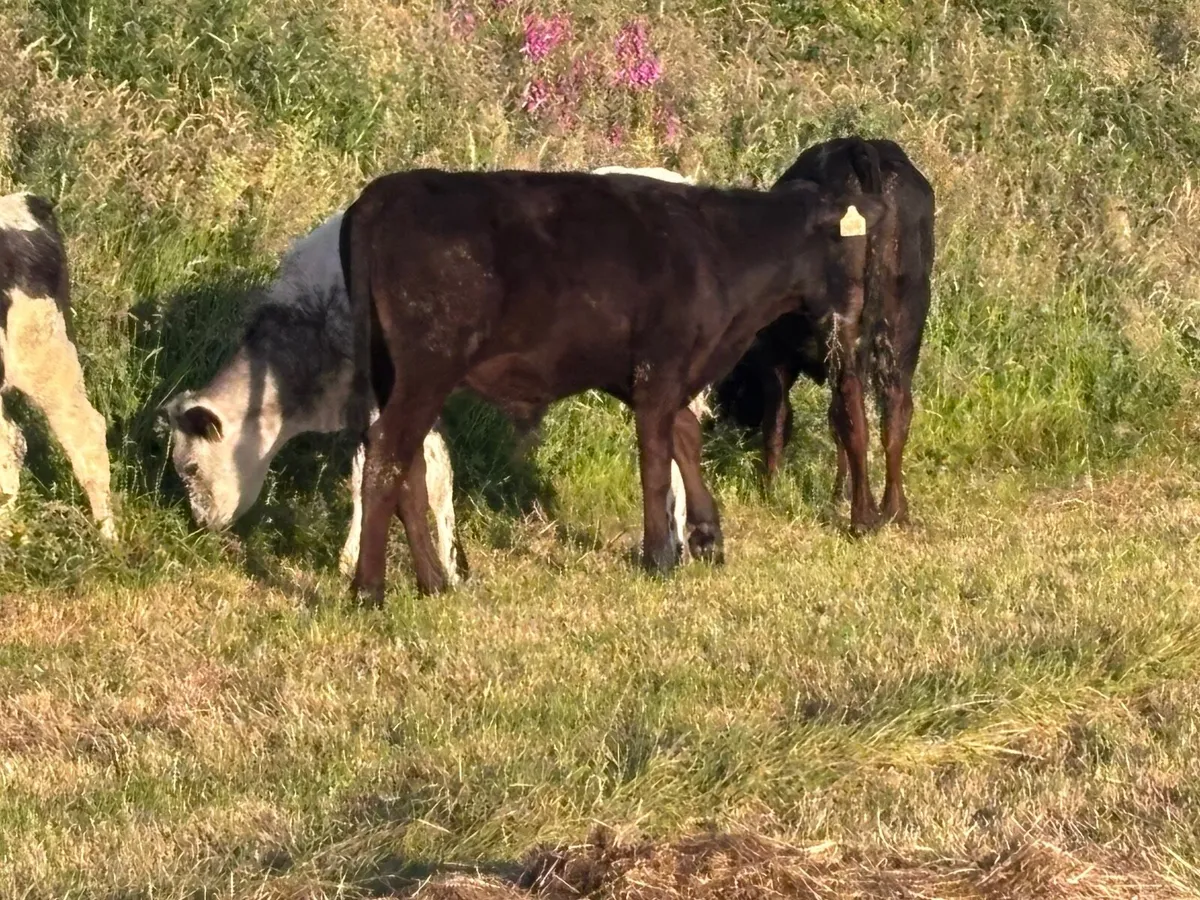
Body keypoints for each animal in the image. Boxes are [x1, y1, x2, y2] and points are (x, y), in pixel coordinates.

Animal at [340, 168, 885, 601]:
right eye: (845, 243)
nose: (858, 310)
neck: (719, 250)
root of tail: (387, 192)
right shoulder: (658, 369)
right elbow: (655, 461)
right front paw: (660, 555)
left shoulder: (662, 373)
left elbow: (685, 439)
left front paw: (706, 537)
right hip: (428, 367)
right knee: (388, 453)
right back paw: (369, 589)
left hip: (392, 373)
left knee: (407, 465)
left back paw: (432, 582)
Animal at [712, 137, 935, 526]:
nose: (722, 421)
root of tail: (862, 146)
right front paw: (837, 492)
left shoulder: (773, 359)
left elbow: (779, 420)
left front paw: (771, 489)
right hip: (905, 322)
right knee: (895, 409)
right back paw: (895, 510)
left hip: (840, 324)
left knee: (853, 413)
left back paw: (863, 518)